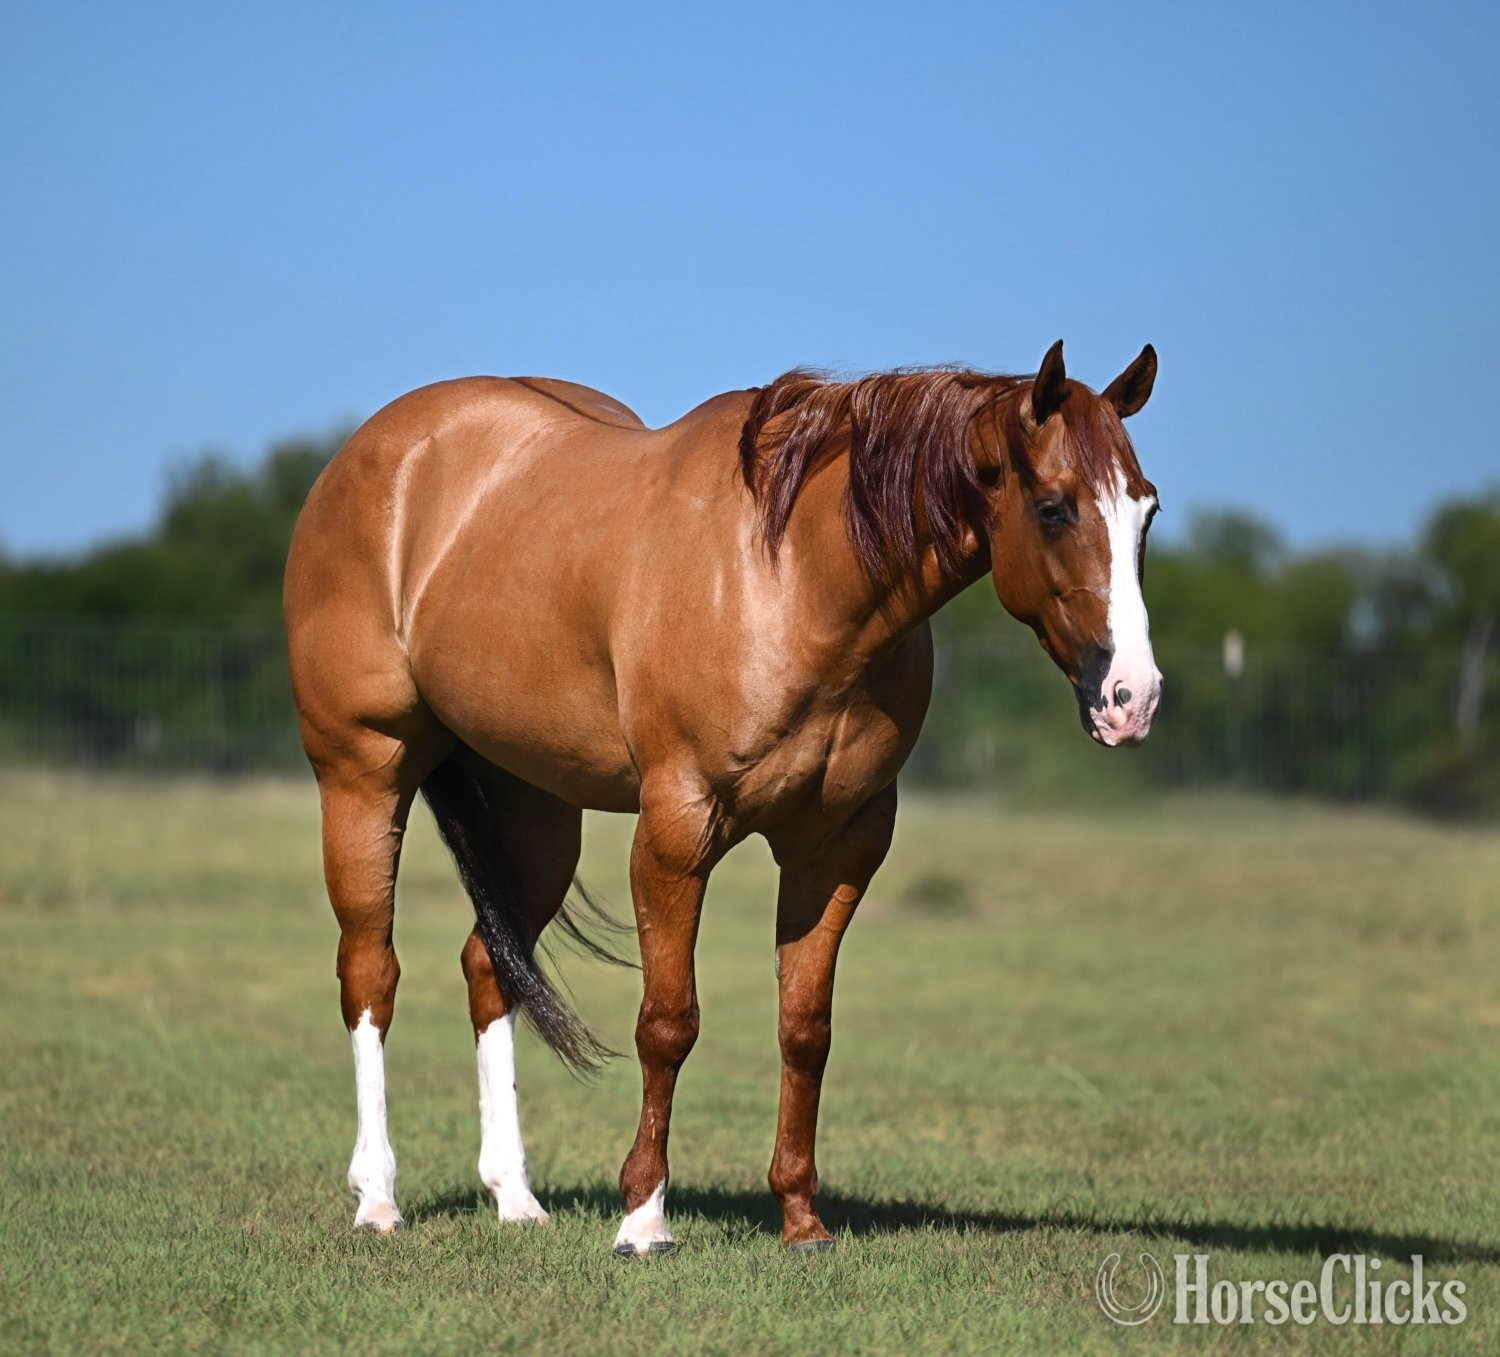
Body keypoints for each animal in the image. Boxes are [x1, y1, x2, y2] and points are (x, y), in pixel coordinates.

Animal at [283, 338, 1162, 1254]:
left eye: (1147, 511)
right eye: (1055, 507)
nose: (1133, 697)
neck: (792, 579)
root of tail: (371, 455)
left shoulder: (836, 846)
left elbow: (805, 1027)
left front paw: (802, 1218)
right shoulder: (676, 832)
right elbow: (668, 1021)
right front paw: (643, 1216)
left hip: (537, 814)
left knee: (490, 967)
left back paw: (514, 1195)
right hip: (362, 775)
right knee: (370, 973)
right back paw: (378, 1198)